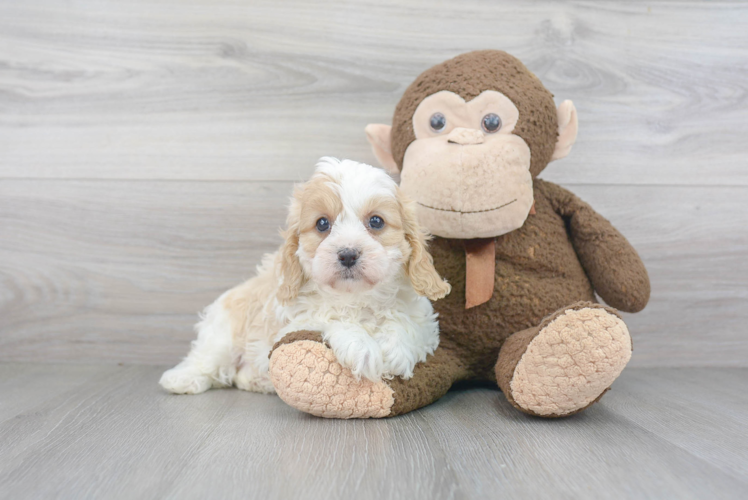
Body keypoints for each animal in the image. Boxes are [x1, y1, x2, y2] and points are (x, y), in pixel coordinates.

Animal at [159, 157, 450, 394]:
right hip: (223, 332)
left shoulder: (425, 324)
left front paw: (396, 348)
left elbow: (407, 322)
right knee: (206, 360)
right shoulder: (291, 323)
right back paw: (182, 379)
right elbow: (327, 318)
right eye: (322, 223)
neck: (355, 299)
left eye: (376, 221)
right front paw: (362, 347)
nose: (347, 254)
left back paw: (256, 380)